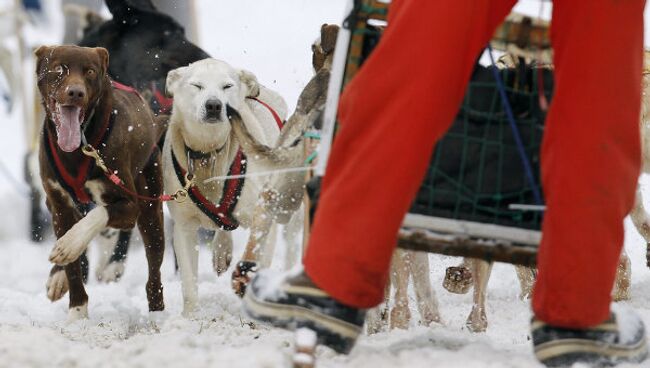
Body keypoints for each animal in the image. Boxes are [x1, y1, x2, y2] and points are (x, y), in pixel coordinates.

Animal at [33, 43, 166, 320]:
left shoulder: (130, 205)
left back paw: (158, 316)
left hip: (151, 210)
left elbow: (97, 216)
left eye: (90, 71)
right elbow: (73, 268)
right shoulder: (59, 205)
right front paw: (77, 313)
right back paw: (58, 276)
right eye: (59, 68)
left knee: (154, 274)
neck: (78, 149)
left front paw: (70, 243)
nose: (75, 92)